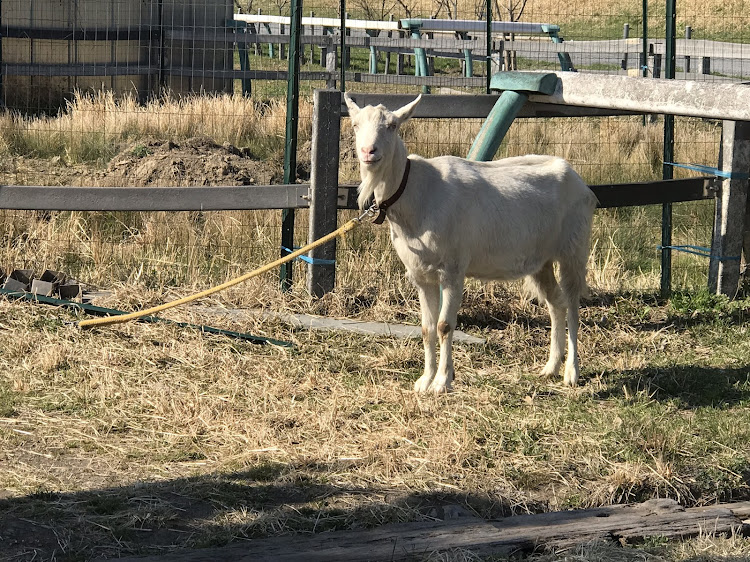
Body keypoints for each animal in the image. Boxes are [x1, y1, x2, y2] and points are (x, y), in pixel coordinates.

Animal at [346, 93, 600, 390]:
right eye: (354, 125)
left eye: (393, 126)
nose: (368, 152)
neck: (416, 192)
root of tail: (581, 184)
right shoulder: (420, 274)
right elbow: (426, 328)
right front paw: (424, 380)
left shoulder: (453, 269)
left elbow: (444, 326)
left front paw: (442, 382)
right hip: (541, 260)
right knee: (556, 303)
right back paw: (550, 367)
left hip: (573, 248)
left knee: (572, 306)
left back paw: (572, 372)